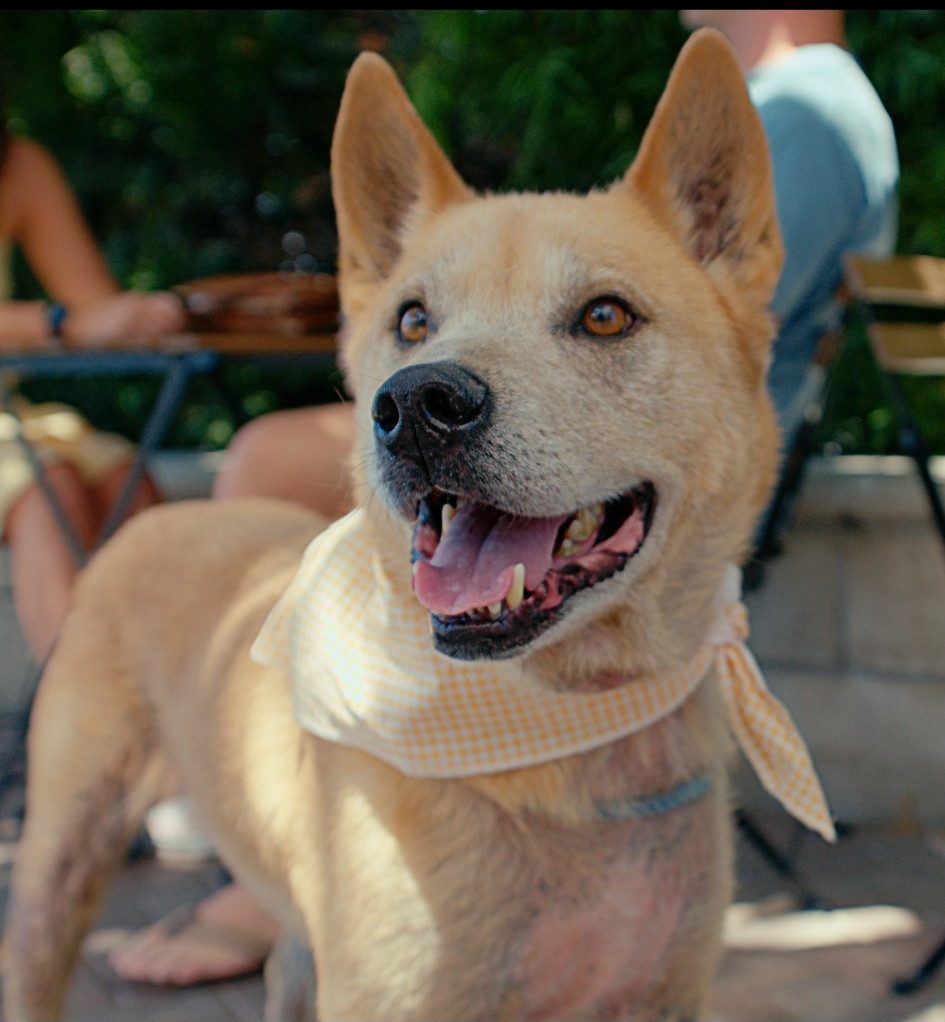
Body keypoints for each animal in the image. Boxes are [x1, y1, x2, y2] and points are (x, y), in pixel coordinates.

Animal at [3, 29, 776, 1021]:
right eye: (411, 319)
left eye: (606, 316)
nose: (415, 406)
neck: (571, 741)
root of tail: (162, 520)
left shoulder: (666, 995)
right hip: (59, 863)